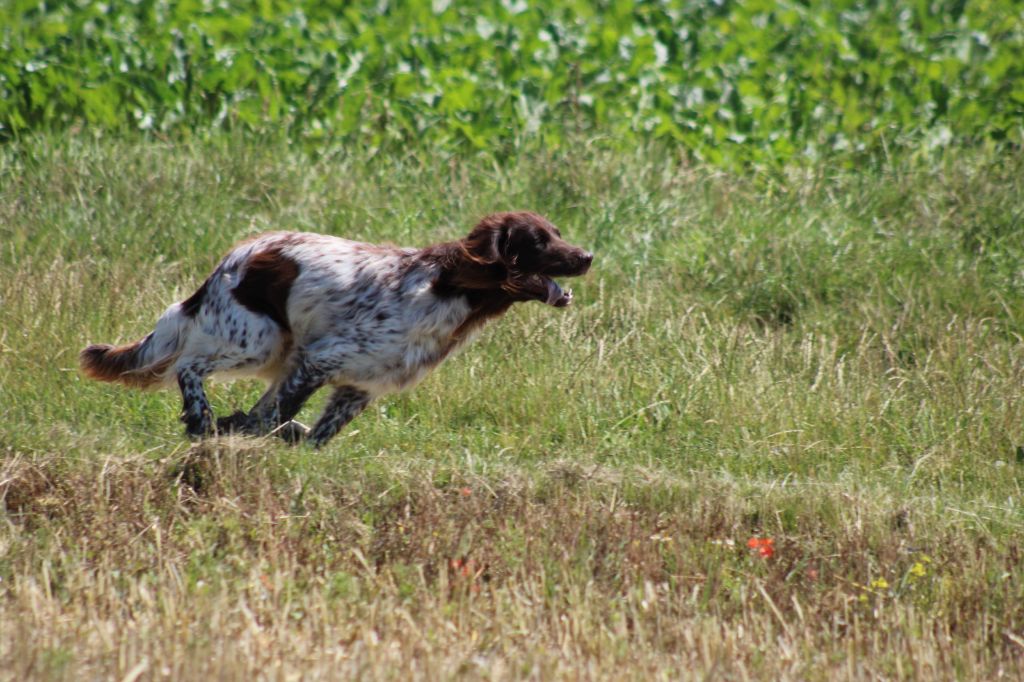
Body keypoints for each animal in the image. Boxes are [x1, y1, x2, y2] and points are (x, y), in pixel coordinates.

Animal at [79, 212, 593, 446]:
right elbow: (270, 416)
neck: (450, 290)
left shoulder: (359, 386)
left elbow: (311, 432)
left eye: (557, 232)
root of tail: (231, 259)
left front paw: (286, 438)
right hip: (259, 338)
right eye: (539, 240)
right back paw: (200, 418)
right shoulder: (322, 359)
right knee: (188, 365)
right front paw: (237, 429)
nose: (588, 256)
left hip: (278, 349)